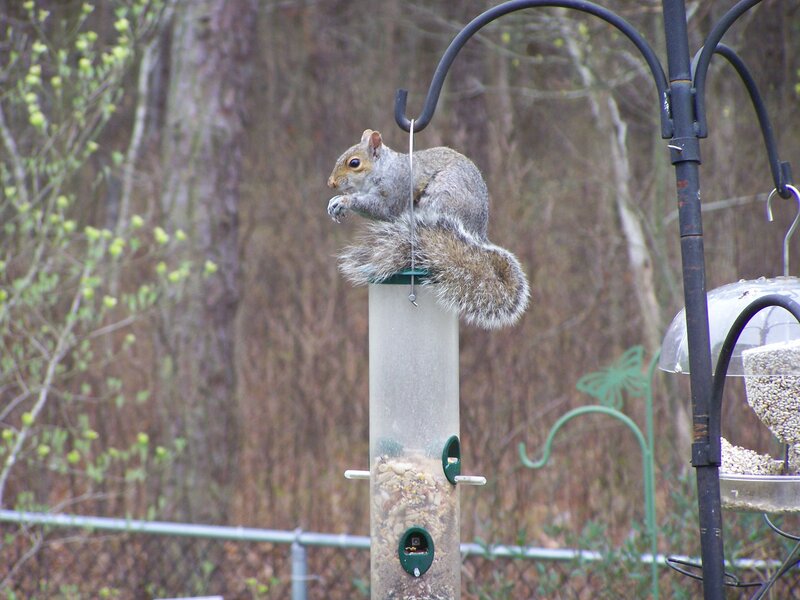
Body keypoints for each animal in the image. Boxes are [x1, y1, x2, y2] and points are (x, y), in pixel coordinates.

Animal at [327, 129, 529, 329]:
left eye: (354, 163)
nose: (331, 183)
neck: (384, 169)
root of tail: (478, 234)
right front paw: (334, 202)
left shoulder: (395, 190)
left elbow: (381, 208)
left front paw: (344, 201)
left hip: (442, 200)